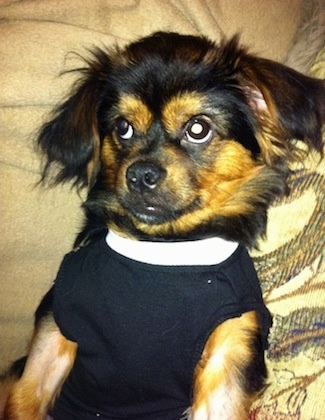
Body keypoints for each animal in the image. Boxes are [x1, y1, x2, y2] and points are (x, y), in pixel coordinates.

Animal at [1, 31, 322, 418]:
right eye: (122, 128)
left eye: (198, 128)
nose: (140, 174)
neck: (164, 249)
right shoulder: (50, 336)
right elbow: (25, 399)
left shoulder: (230, 352)